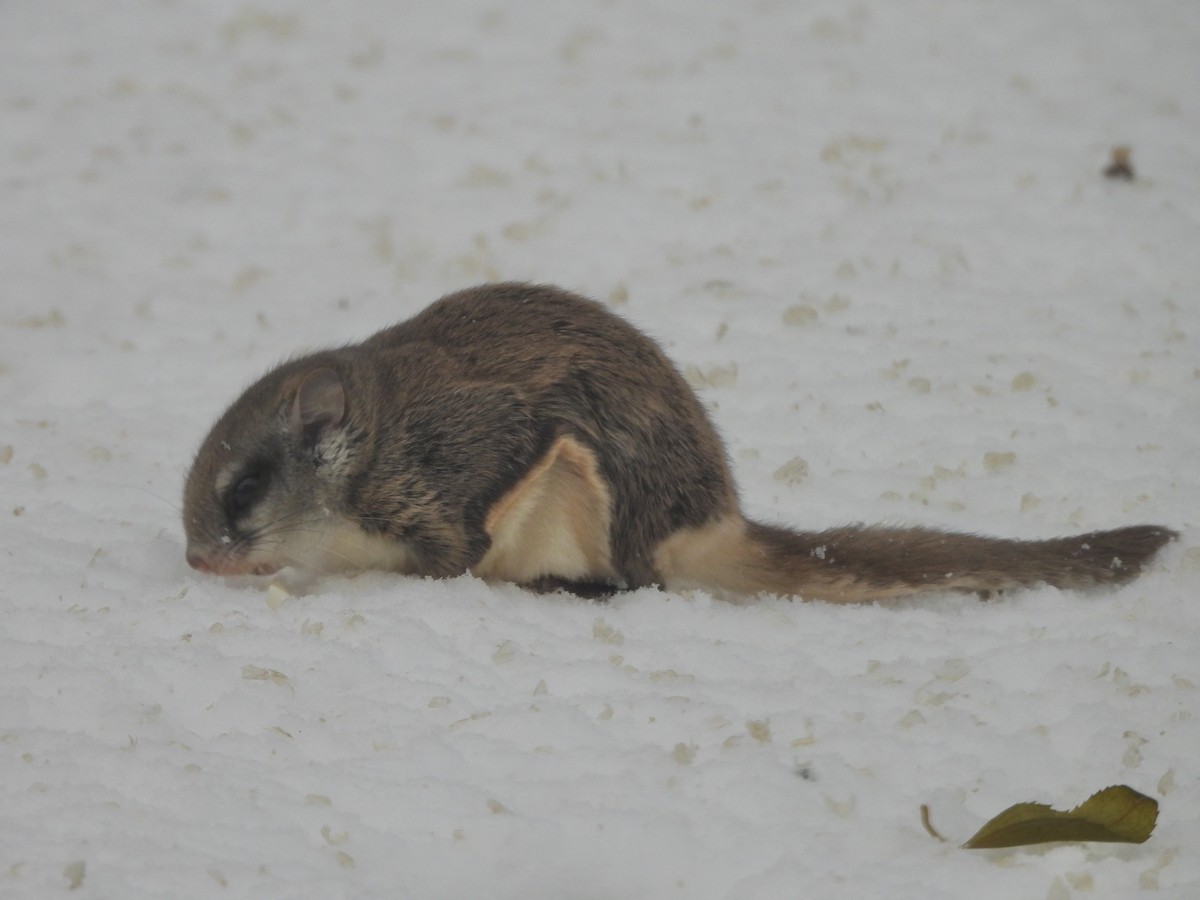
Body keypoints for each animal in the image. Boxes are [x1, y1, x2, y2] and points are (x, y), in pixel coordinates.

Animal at [182, 282, 1175, 602]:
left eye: (243, 492)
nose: (197, 559)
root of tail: (715, 521)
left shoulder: (462, 459)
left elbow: (450, 550)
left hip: (585, 484)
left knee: (637, 581)